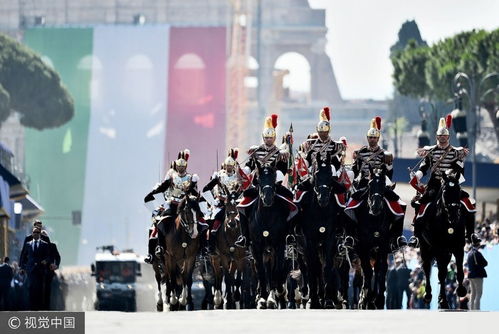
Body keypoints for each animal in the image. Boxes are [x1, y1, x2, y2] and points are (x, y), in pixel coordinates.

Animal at [250, 162, 292, 310]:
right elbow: (262, 273)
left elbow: (276, 271)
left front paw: (273, 298)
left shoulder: (279, 245)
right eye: (259, 179)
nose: (267, 199)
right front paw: (262, 298)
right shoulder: (256, 247)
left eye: (273, 178)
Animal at [294, 153, 346, 310]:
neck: (320, 211)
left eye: (330, 174)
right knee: (306, 267)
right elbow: (314, 267)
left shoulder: (330, 239)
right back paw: (307, 296)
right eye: (316, 175)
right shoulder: (309, 241)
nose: (323, 198)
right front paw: (314, 300)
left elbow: (327, 267)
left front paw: (328, 299)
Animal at [420, 172, 470, 308]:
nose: (454, 214)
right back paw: (428, 295)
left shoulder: (458, 247)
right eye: (445, 191)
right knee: (427, 268)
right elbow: (441, 274)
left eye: (458, 190)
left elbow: (459, 271)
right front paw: (443, 301)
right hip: (425, 248)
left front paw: (461, 290)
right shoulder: (439, 249)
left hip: (446, 253)